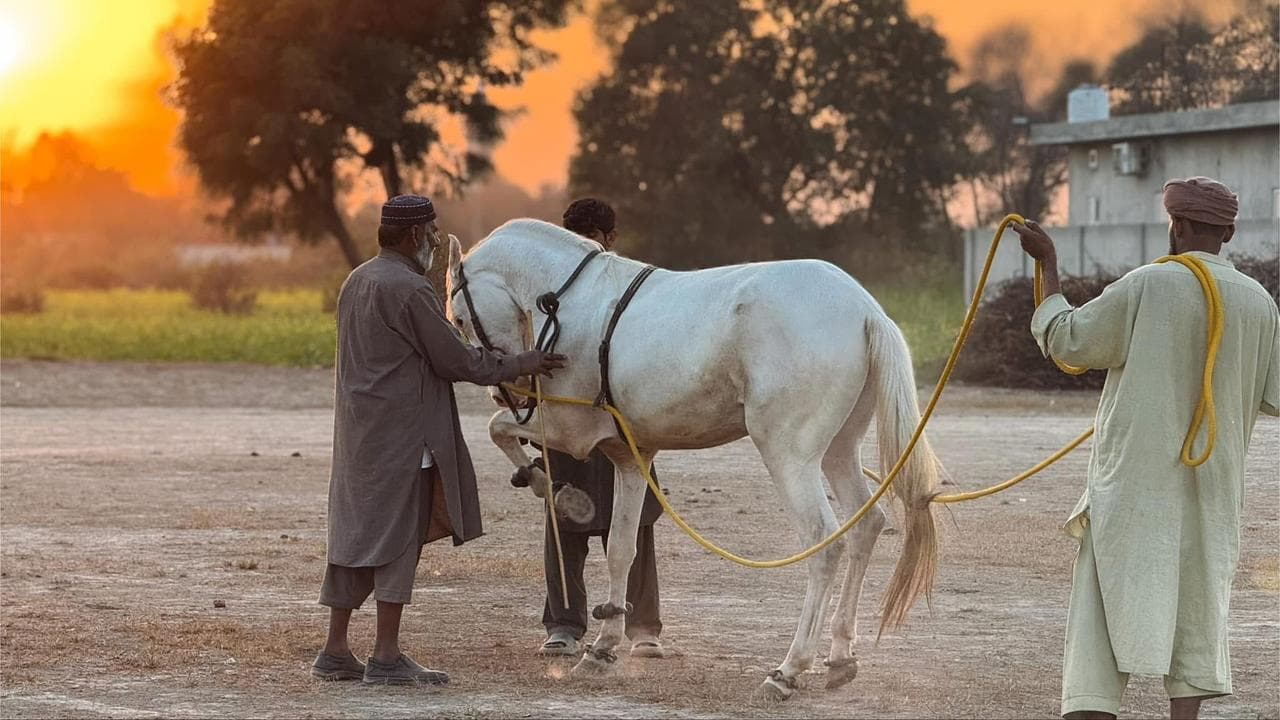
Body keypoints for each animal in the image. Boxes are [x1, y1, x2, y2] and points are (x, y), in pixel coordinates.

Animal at [444, 219, 943, 700]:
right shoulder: (630, 459)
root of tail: (864, 310)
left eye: (462, 317)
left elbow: (498, 429)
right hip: (840, 450)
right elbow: (621, 548)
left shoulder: (570, 431)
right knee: (865, 526)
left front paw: (553, 490)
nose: (505, 390)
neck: (572, 301)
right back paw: (839, 658)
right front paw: (602, 649)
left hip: (790, 457)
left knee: (825, 543)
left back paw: (788, 670)